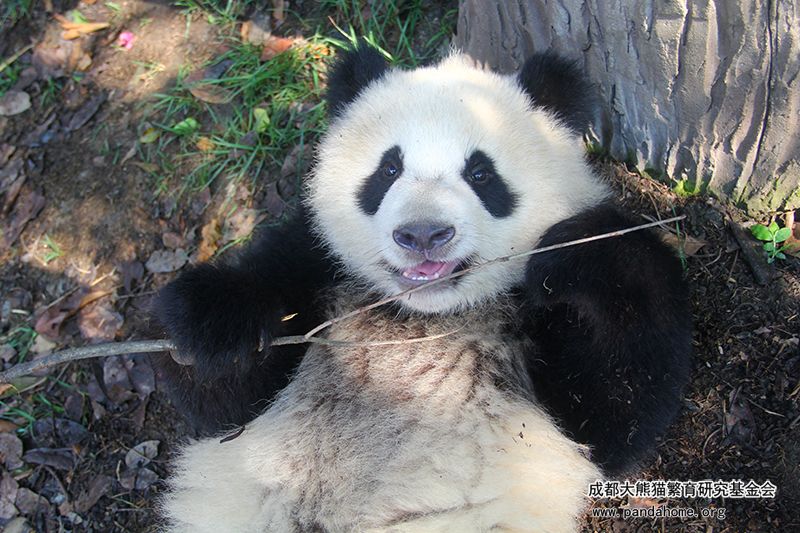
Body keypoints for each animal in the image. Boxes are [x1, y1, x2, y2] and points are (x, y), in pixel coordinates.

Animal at [152, 43, 692, 532]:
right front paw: (215, 328)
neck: (424, 316)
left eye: (481, 173)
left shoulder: (537, 328)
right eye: (388, 169)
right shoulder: (315, 265)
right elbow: (223, 409)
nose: (423, 234)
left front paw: (579, 254)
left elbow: (613, 416)